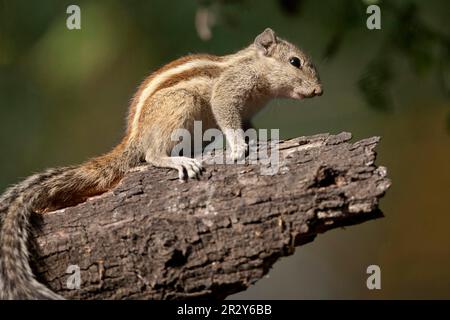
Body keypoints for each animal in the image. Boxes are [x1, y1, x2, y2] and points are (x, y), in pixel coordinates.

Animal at [0, 27, 324, 300]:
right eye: (295, 61)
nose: (319, 91)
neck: (254, 68)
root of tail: (135, 137)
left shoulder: (247, 114)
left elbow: (247, 127)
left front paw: (255, 140)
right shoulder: (228, 93)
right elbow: (227, 119)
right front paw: (237, 147)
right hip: (178, 107)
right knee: (151, 155)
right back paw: (177, 160)